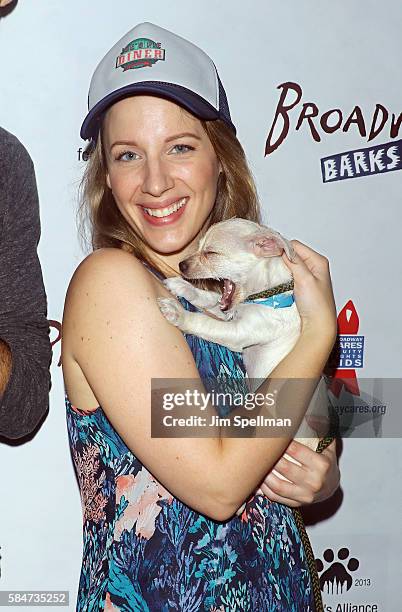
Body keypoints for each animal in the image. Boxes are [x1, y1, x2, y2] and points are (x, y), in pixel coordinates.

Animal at [155, 219, 328, 506]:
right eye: (198, 246)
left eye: (211, 253)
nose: (181, 265)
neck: (264, 295)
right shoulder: (229, 314)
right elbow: (209, 299)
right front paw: (183, 287)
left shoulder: (237, 332)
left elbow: (204, 321)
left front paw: (179, 314)